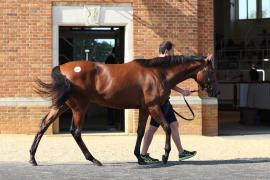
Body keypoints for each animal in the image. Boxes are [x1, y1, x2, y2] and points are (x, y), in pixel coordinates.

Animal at [30, 54, 219, 166]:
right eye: (211, 71)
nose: (216, 92)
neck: (158, 73)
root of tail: (62, 69)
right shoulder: (154, 107)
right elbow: (166, 127)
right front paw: (165, 156)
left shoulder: (144, 109)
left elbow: (141, 132)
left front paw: (140, 158)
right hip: (79, 107)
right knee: (75, 132)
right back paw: (94, 159)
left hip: (63, 105)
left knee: (43, 125)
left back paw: (32, 157)